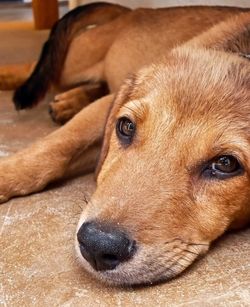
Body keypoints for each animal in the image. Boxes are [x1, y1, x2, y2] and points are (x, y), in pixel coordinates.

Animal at [0, 2, 250, 286]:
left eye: (226, 163)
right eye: (127, 127)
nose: (96, 245)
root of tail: (129, 11)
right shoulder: (103, 108)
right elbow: (52, 148)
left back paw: (70, 101)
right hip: (71, 63)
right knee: (31, 67)